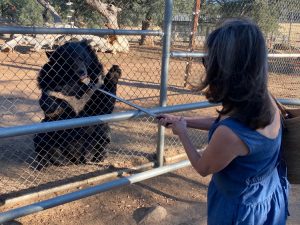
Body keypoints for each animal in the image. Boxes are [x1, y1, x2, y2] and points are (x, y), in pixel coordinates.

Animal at [33, 40, 121, 171]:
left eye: (83, 58)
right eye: (69, 61)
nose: (82, 72)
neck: (74, 82)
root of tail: (76, 159)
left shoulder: (93, 89)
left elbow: (103, 107)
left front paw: (114, 72)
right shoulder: (50, 85)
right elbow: (49, 101)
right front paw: (53, 106)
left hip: (94, 140)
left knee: (104, 133)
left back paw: (98, 158)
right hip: (49, 136)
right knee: (41, 139)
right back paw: (44, 164)